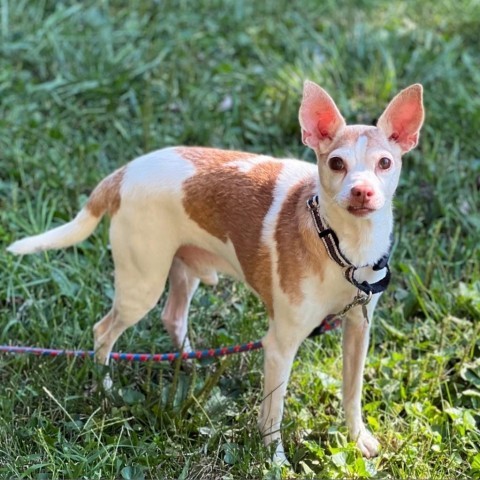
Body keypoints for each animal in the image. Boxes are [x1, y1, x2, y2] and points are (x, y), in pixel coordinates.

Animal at [7, 80, 424, 464]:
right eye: (337, 164)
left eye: (385, 163)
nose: (362, 192)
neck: (343, 249)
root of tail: (122, 174)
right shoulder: (279, 346)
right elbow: (273, 415)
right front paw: (275, 462)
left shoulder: (358, 328)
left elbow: (351, 392)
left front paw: (357, 438)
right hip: (141, 287)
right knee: (103, 332)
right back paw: (108, 389)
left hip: (184, 270)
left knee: (173, 316)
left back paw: (191, 363)